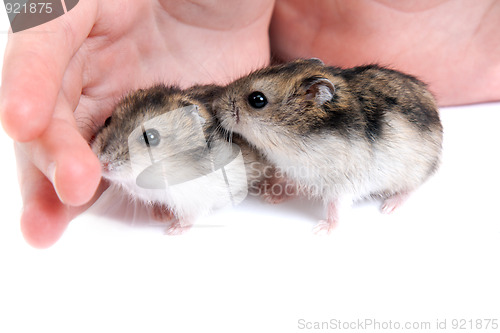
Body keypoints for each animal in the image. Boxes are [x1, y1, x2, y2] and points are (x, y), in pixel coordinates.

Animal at [90, 83, 274, 233]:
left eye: (151, 137)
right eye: (107, 120)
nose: (102, 164)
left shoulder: (198, 196)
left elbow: (191, 216)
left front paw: (173, 230)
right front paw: (160, 216)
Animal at [213, 58, 444, 232]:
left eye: (257, 99)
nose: (216, 106)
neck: (291, 141)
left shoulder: (342, 184)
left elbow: (336, 208)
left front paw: (322, 229)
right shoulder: (297, 169)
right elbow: (291, 183)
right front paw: (268, 195)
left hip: (412, 172)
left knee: (410, 188)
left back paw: (389, 207)